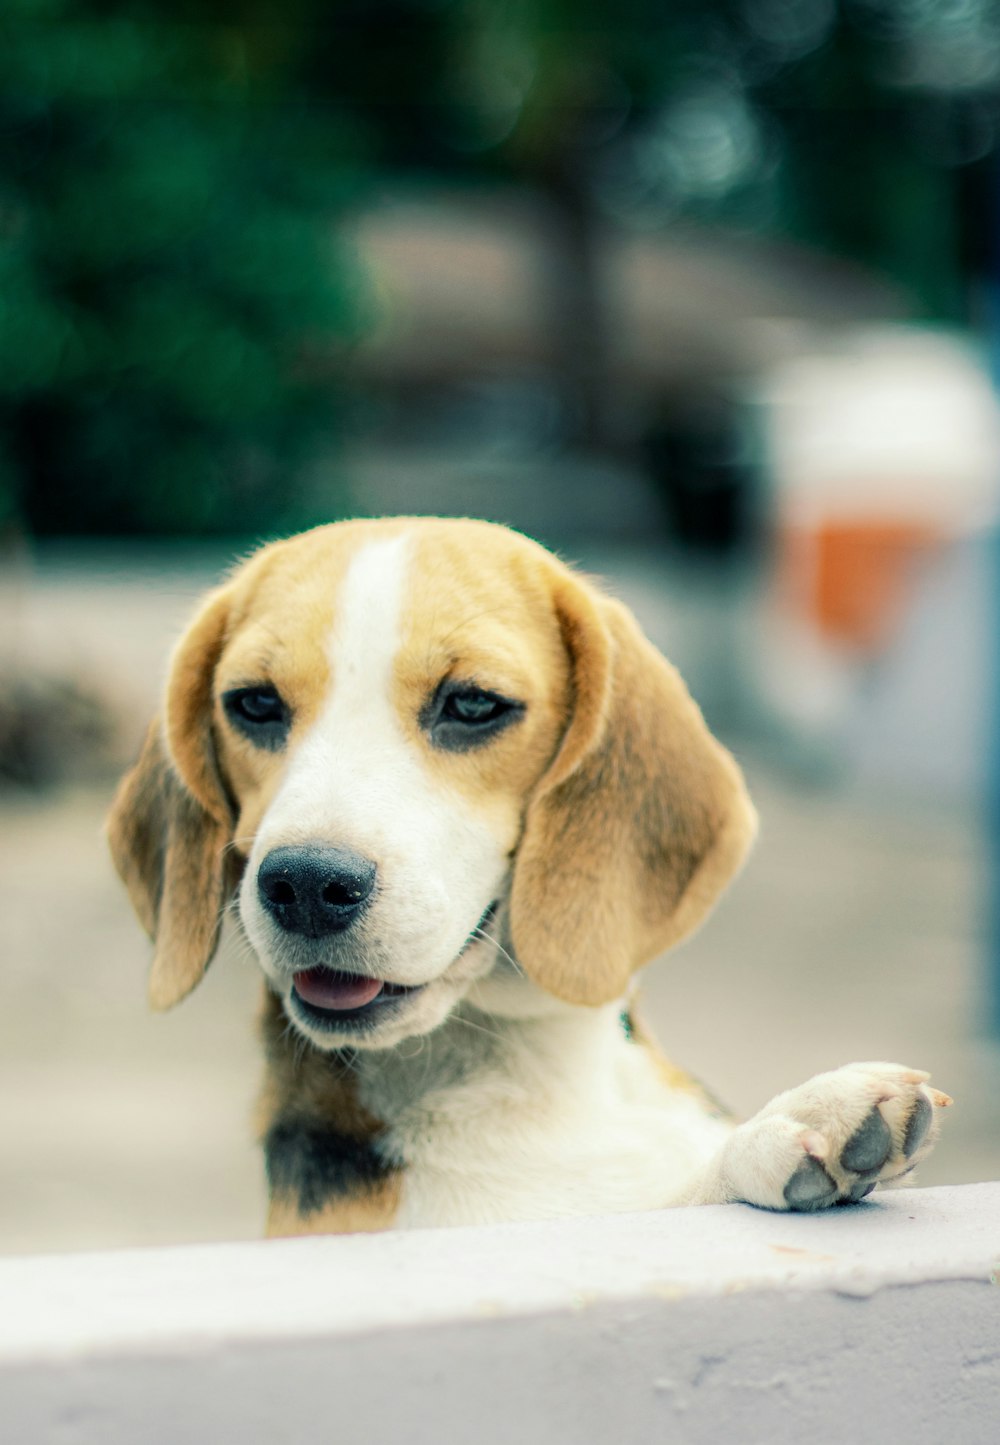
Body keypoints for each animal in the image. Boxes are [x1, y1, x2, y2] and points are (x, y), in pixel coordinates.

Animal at [107, 514, 947, 1236]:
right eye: (253, 703)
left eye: (474, 703)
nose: (306, 884)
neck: (536, 1073)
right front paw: (787, 1130)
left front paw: (800, 1112)